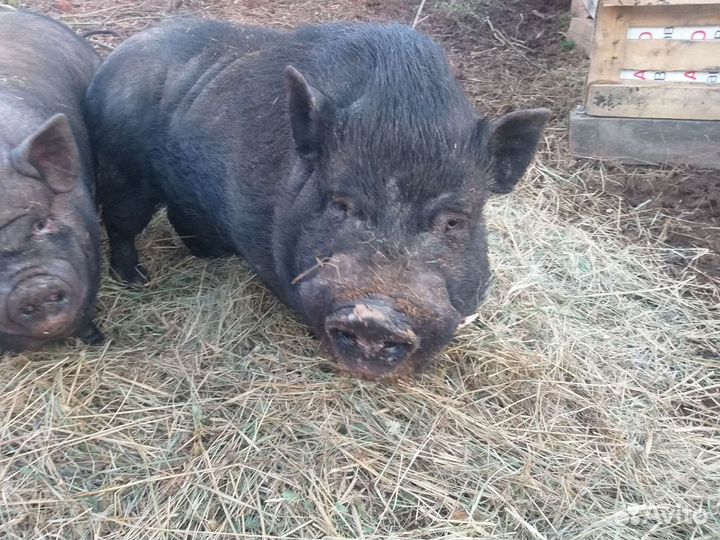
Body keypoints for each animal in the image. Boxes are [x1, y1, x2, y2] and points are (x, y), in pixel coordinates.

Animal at [83, 19, 544, 378]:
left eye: (453, 221)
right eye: (340, 204)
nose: (375, 316)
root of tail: (116, 55)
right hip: (122, 168)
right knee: (121, 224)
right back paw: (137, 279)